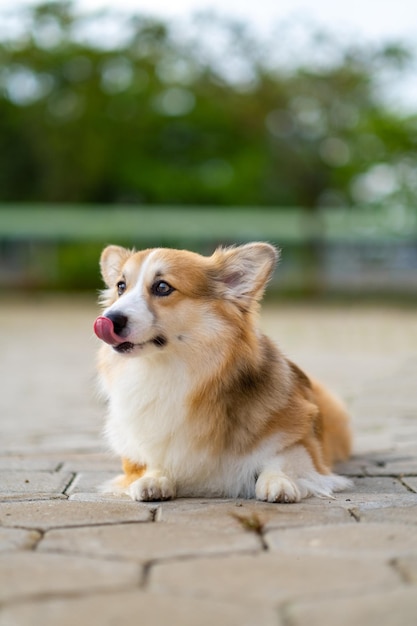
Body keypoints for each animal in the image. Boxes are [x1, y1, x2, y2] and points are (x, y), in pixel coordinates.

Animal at [94, 241, 352, 500]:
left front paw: (278, 482)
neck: (169, 371)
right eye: (121, 286)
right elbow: (154, 463)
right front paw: (153, 480)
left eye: (162, 287)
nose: (109, 319)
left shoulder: (301, 442)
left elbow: (282, 460)